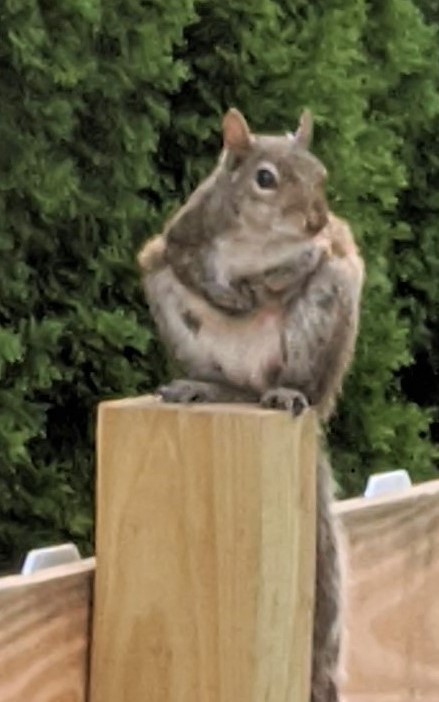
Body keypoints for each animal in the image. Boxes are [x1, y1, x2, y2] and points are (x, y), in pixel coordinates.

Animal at [138, 107, 365, 702]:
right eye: (265, 178)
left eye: (320, 172)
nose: (314, 218)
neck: (258, 240)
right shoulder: (183, 234)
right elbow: (185, 260)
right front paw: (227, 292)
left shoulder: (327, 249)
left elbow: (307, 261)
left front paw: (271, 281)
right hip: (175, 313)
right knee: (227, 382)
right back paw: (205, 388)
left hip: (322, 322)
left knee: (294, 382)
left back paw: (285, 392)